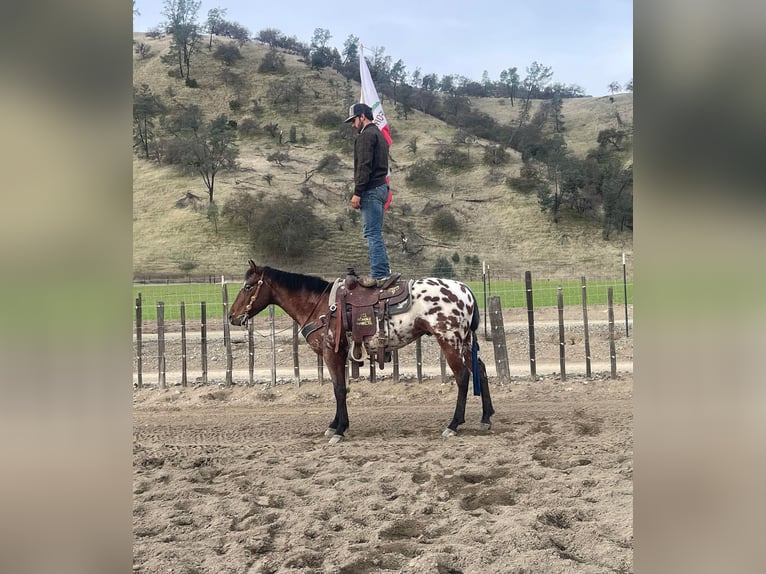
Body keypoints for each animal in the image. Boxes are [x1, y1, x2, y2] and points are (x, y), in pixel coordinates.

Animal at [228, 260, 498, 446]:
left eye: (248, 286)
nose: (231, 317)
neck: (320, 306)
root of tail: (465, 290)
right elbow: (338, 388)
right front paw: (335, 425)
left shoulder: (332, 353)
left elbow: (339, 389)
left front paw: (339, 431)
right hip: (464, 342)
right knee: (481, 369)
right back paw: (486, 418)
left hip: (449, 340)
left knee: (463, 377)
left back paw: (453, 425)